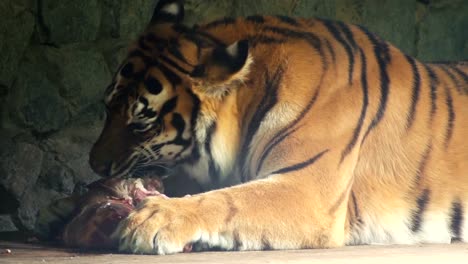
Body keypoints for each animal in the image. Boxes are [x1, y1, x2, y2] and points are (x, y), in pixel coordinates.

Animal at [88, 0, 468, 256]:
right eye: (107, 108)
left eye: (141, 123)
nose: (94, 165)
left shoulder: (307, 188)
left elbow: (230, 200)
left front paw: (153, 219)